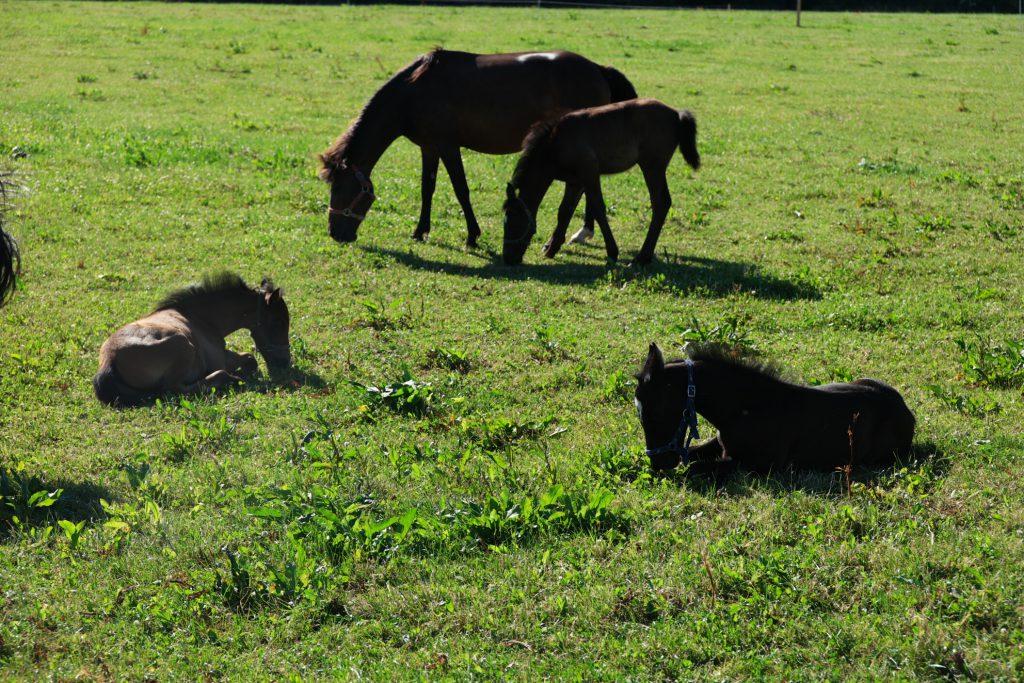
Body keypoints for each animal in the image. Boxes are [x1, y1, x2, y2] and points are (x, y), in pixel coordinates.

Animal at [93, 274, 290, 409]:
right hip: (183, 347)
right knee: (175, 389)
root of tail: (109, 361)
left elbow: (250, 358)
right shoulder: (218, 359)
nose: (285, 363)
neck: (201, 318)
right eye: (278, 322)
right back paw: (231, 379)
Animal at [319, 50, 634, 248]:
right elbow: (427, 189)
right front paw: (420, 231)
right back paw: (584, 232)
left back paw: (582, 232)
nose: (335, 233)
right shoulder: (429, 148)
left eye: (343, 189)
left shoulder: (448, 146)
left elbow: (461, 189)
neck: (414, 91)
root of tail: (598, 69)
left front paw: (472, 235)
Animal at [501, 98, 700, 266]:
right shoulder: (575, 181)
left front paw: (612, 252)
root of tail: (677, 114)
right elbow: (564, 211)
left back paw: (642, 257)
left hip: (652, 167)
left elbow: (598, 208)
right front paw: (552, 248)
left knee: (661, 203)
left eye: (514, 224)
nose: (508, 258)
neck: (556, 144)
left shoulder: (590, 173)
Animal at [634, 342, 917, 475]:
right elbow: (692, 455)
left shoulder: (758, 464)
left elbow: (693, 468)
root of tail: (905, 410)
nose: (659, 462)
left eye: (655, 411)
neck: (745, 407)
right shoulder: (720, 444)